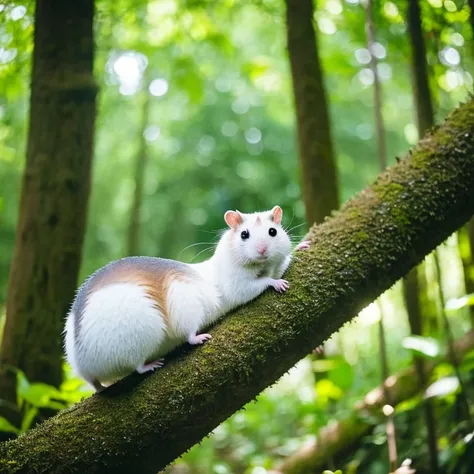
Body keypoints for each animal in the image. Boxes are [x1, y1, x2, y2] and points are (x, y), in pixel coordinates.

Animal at [65, 206, 310, 390]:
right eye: (244, 234)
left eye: (273, 232)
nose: (262, 250)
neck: (262, 266)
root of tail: (84, 364)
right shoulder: (235, 284)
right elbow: (251, 287)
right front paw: (274, 283)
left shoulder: (276, 265)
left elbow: (283, 264)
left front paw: (301, 246)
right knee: (145, 360)